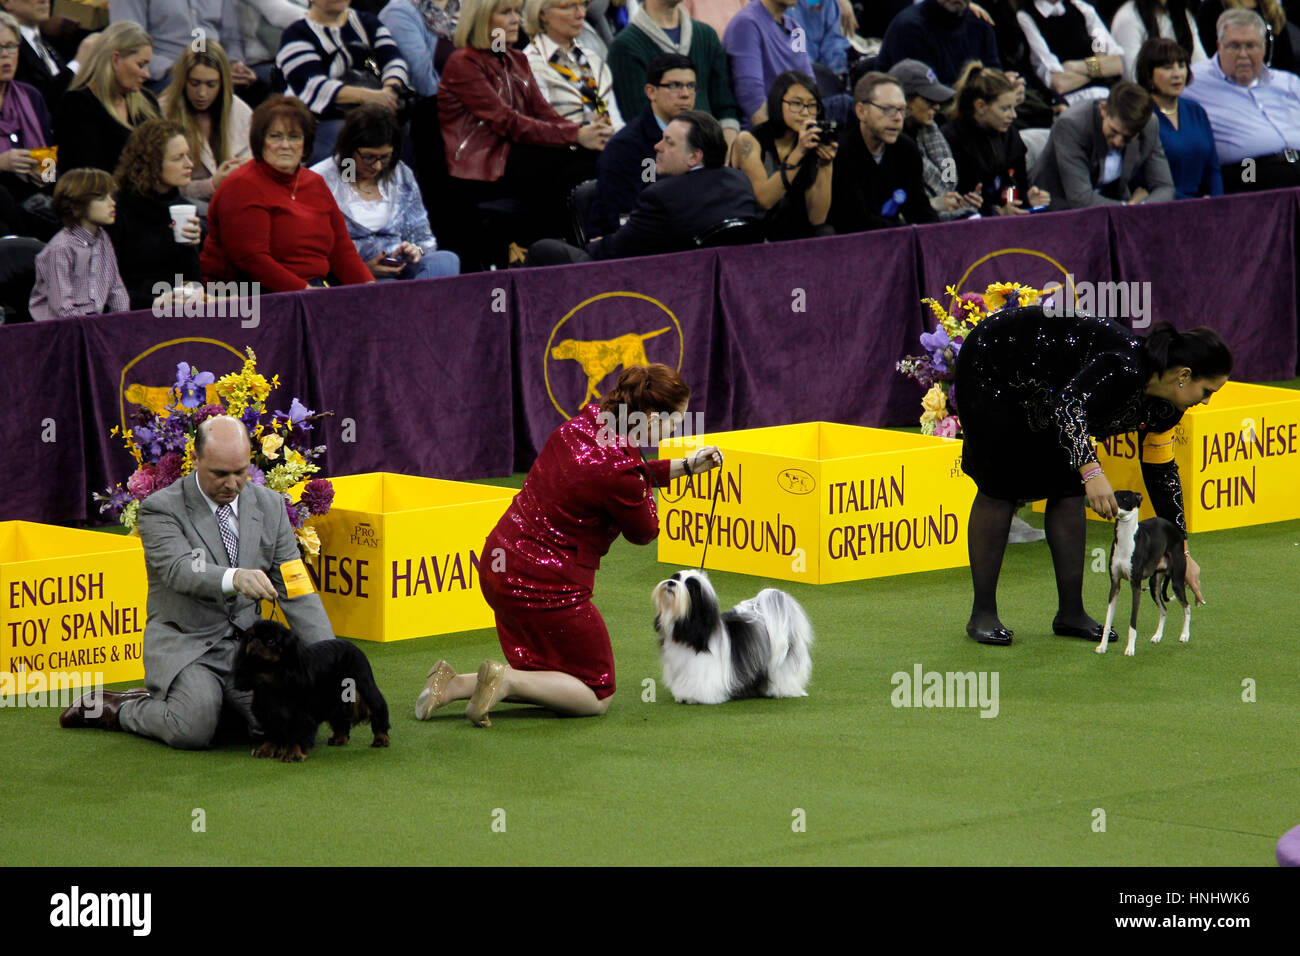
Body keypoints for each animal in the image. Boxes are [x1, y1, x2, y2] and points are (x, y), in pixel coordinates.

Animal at [232, 621, 390, 764]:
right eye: (250, 637)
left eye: (271, 641)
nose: (255, 641)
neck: (270, 678)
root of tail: (352, 645)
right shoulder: (267, 713)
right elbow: (272, 733)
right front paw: (266, 750)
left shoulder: (299, 715)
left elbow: (296, 736)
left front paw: (292, 754)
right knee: (340, 718)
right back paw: (339, 739)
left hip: (364, 688)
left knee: (378, 710)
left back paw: (381, 738)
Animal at [1092, 494, 1190, 658]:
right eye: (1113, 495)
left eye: (1125, 499)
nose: (1109, 508)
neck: (1126, 540)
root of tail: (1172, 526)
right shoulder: (1115, 585)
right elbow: (1108, 621)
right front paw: (1103, 646)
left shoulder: (1135, 586)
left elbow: (1132, 622)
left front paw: (1130, 648)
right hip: (1154, 585)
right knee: (1164, 609)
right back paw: (1157, 636)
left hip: (1177, 581)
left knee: (1187, 607)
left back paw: (1185, 635)